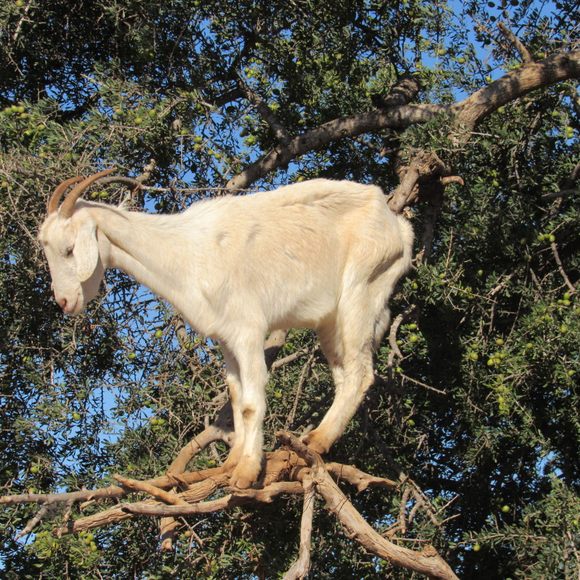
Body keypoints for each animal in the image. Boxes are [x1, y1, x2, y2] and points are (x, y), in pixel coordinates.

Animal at [39, 170, 412, 488]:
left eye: (69, 249)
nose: (65, 301)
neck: (186, 253)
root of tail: (398, 226)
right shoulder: (226, 338)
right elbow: (235, 396)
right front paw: (231, 463)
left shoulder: (248, 330)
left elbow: (251, 402)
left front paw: (246, 473)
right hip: (331, 320)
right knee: (344, 374)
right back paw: (316, 438)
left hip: (362, 289)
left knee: (361, 372)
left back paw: (318, 441)